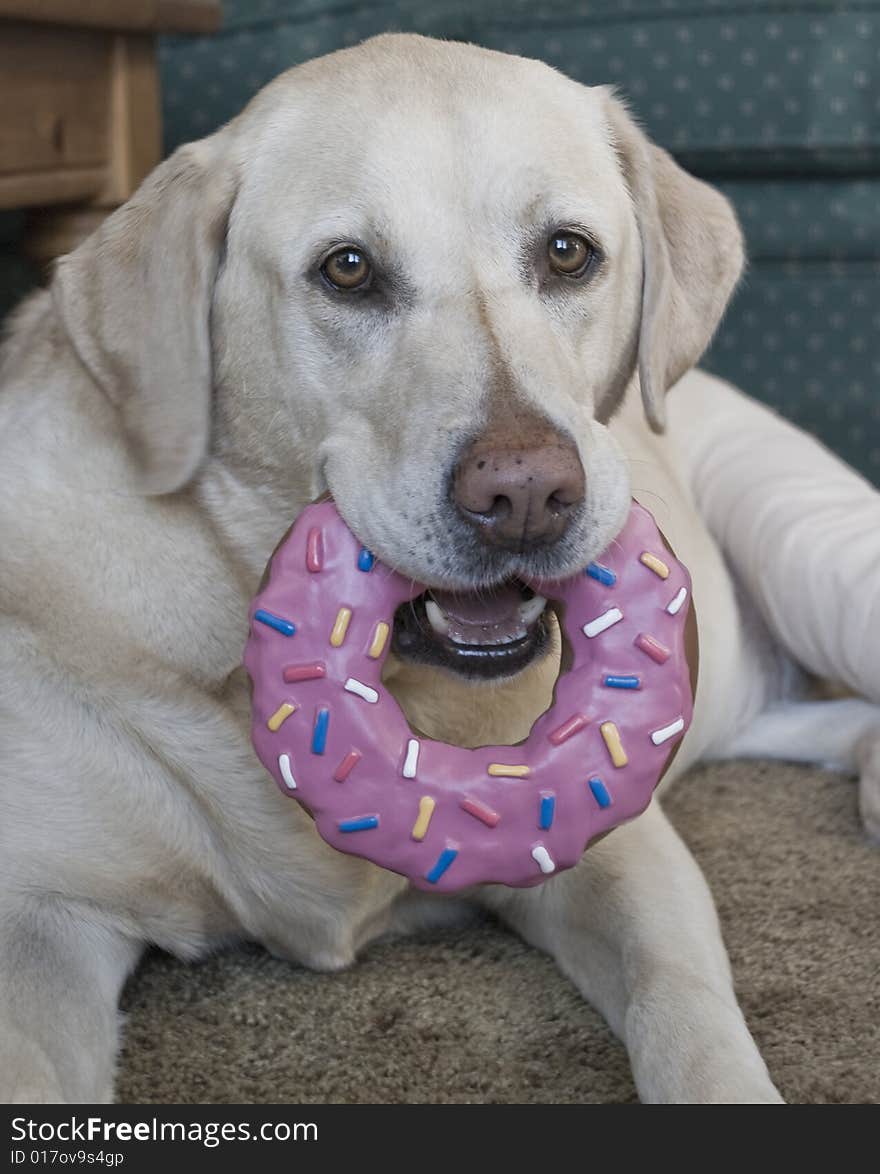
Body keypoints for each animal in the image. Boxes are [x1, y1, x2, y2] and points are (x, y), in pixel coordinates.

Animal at [1, 34, 880, 1098]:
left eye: (567, 252)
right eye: (347, 270)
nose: (527, 495)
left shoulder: (614, 844)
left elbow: (686, 1006)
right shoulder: (38, 919)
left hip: (808, 551)